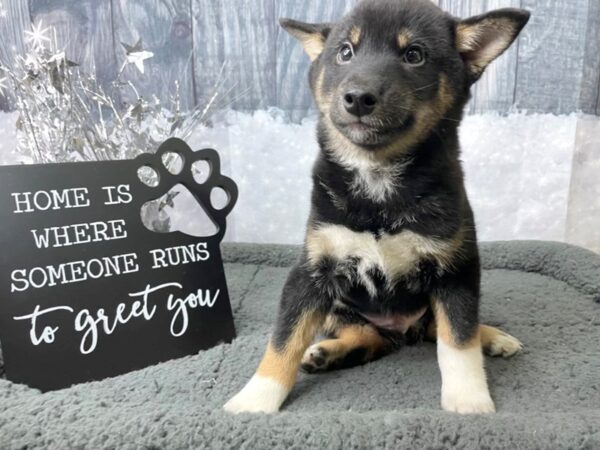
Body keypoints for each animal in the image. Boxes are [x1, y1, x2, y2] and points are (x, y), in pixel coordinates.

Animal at [225, 0, 528, 414]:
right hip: (342, 306)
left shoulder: (456, 269)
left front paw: (469, 399)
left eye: (414, 55)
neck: (379, 179)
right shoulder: (312, 269)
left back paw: (494, 337)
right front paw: (255, 399)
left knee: (439, 328)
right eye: (345, 52)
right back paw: (327, 353)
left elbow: (458, 340)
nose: (358, 97)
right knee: (371, 338)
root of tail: (402, 331)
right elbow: (284, 338)